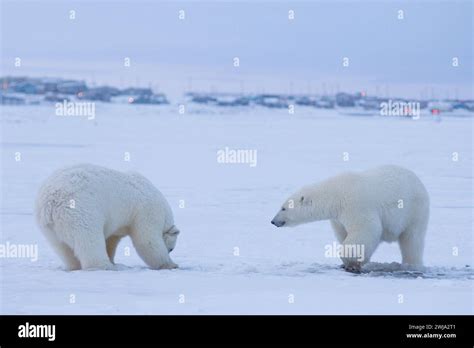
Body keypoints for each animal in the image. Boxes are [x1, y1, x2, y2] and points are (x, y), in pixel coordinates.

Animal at [35, 164, 180, 270]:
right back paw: (105, 266)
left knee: (63, 248)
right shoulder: (147, 212)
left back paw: (75, 266)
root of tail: (51, 203)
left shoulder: (119, 223)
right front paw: (170, 264)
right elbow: (147, 240)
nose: (170, 251)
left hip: (49, 228)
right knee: (89, 239)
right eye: (171, 249)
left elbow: (111, 240)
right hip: (81, 210)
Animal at [270, 165, 430, 272]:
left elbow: (365, 229)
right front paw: (348, 262)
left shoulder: (356, 205)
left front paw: (350, 262)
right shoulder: (338, 218)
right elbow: (344, 233)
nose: (273, 221)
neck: (335, 196)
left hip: (414, 212)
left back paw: (411, 264)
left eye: (283, 208)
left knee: (412, 240)